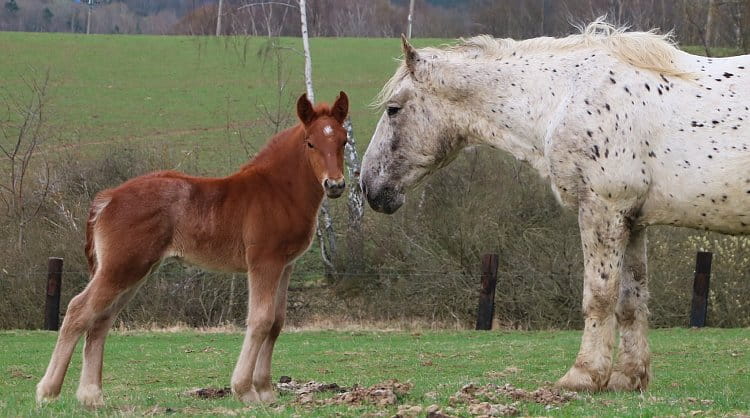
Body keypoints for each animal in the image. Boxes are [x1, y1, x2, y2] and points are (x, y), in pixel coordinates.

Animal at [36, 92, 352, 408]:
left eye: (343, 141)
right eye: (310, 142)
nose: (335, 184)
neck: (278, 191)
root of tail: (107, 198)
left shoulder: (286, 265)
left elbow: (276, 322)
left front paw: (266, 391)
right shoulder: (264, 261)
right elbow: (260, 320)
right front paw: (245, 390)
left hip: (133, 272)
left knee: (101, 320)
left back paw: (91, 396)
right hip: (121, 268)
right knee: (79, 310)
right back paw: (48, 391)